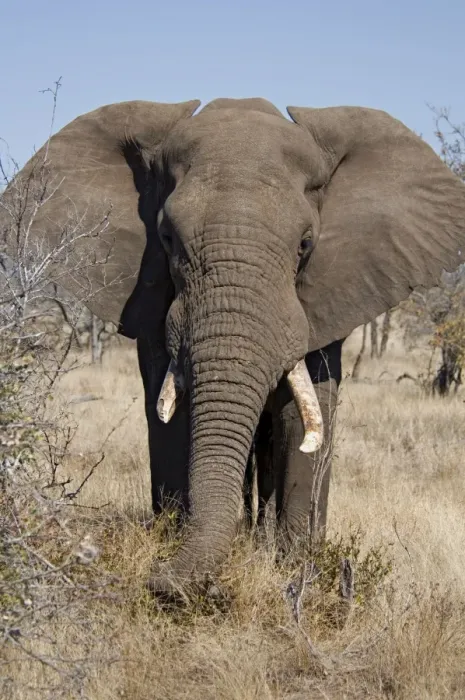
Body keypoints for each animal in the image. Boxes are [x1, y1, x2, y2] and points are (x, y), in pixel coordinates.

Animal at [2, 97, 465, 597]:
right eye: (167, 239)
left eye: (306, 244)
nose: (160, 581)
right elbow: (171, 414)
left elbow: (303, 415)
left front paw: (297, 570)